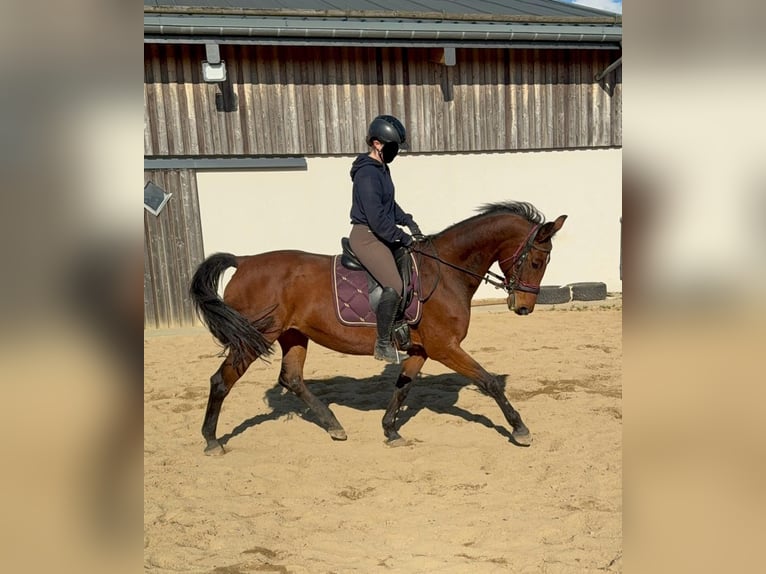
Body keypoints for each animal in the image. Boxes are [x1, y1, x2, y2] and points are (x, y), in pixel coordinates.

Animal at [190, 201, 566, 454]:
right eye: (537, 261)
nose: (523, 307)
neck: (446, 272)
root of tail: (244, 262)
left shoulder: (422, 348)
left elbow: (403, 386)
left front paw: (390, 430)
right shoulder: (445, 347)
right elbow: (488, 382)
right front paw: (520, 429)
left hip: (293, 335)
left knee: (292, 379)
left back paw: (334, 426)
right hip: (255, 339)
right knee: (221, 381)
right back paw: (211, 440)